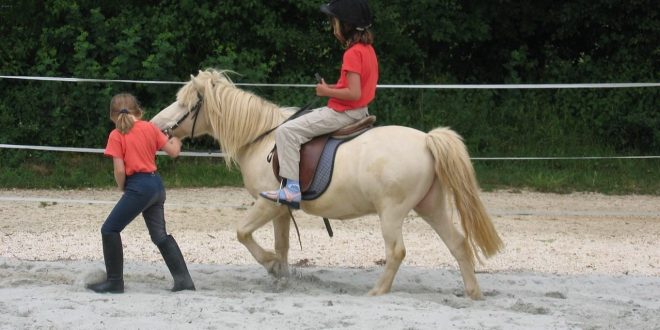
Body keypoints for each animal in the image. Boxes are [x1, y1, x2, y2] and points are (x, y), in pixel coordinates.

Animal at [151, 69, 500, 300]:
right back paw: (473, 293)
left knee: (397, 251)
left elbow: (243, 233)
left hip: (392, 212)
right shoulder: (281, 210)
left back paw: (377, 291)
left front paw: (271, 266)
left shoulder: (267, 203)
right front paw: (281, 275)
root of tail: (427, 140)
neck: (262, 136)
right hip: (431, 206)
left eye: (183, 104)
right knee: (458, 243)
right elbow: (282, 245)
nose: (156, 125)